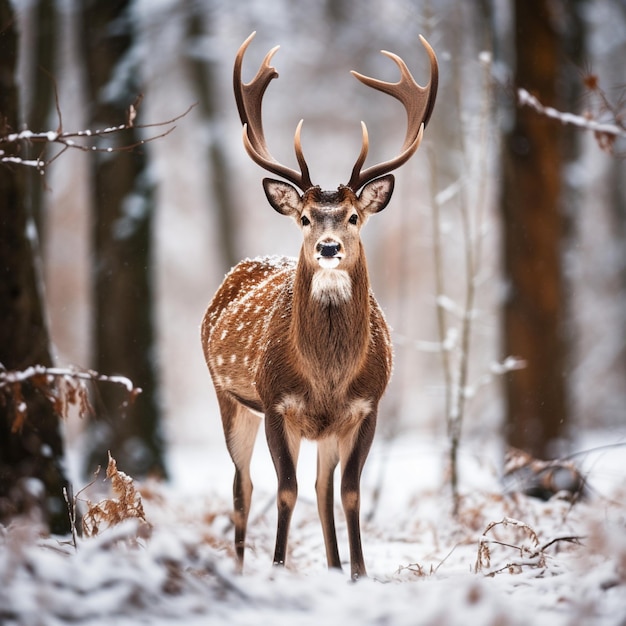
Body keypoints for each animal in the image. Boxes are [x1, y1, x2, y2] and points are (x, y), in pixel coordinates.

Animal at [202, 31, 436, 576]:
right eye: (306, 217)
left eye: (353, 216)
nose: (328, 248)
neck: (327, 379)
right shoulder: (275, 402)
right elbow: (285, 491)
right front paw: (276, 568)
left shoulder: (366, 406)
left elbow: (348, 493)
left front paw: (359, 573)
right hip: (228, 396)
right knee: (242, 486)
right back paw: (241, 567)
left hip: (323, 428)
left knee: (322, 486)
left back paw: (331, 567)